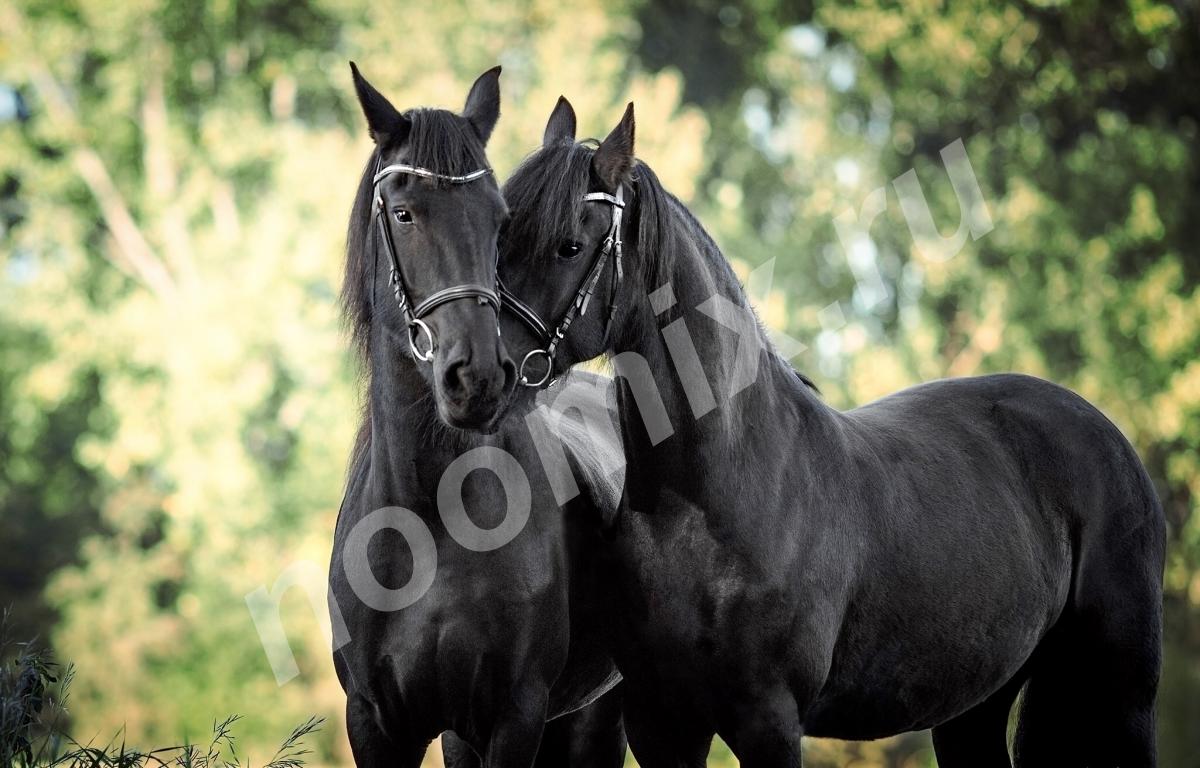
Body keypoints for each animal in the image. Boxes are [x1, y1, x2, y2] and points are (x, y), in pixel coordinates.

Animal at [331, 66, 628, 768]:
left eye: (498, 221)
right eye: (405, 213)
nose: (479, 379)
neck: (430, 517)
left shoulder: (511, 717)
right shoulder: (378, 724)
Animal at [487, 97, 1161, 768]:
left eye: (570, 246)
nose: (482, 369)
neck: (714, 501)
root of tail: (1106, 435)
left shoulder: (769, 723)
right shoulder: (662, 724)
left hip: (1123, 693)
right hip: (974, 706)